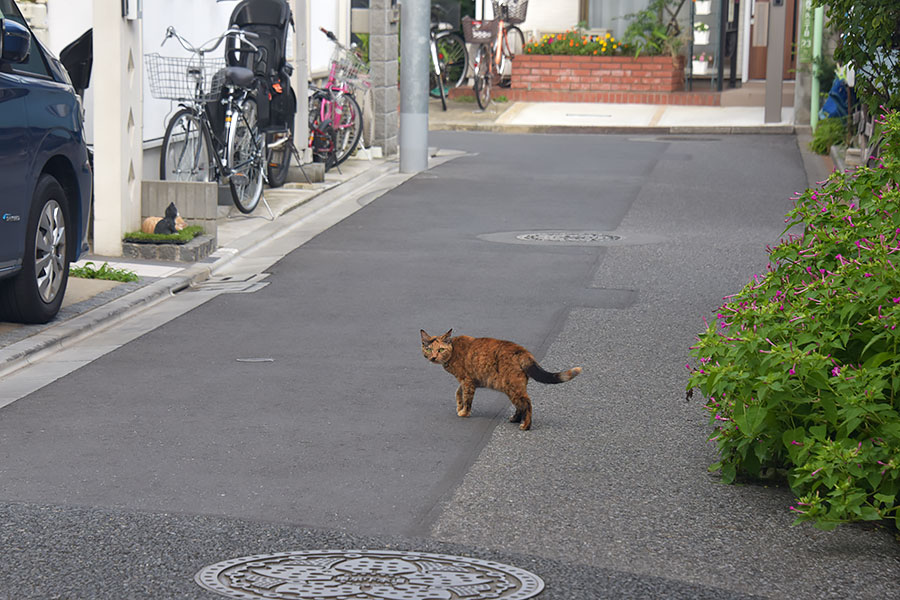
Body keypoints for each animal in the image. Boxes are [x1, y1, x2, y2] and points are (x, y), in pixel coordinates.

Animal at [418, 328, 580, 432]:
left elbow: (467, 398)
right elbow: (458, 392)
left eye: (440, 349)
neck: (453, 350)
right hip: (512, 387)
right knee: (520, 405)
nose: (433, 357)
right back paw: (515, 419)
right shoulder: (466, 380)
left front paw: (464, 412)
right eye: (428, 349)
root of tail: (523, 352)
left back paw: (525, 426)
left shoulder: (467, 380)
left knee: (527, 403)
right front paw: (459, 405)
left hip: (512, 386)